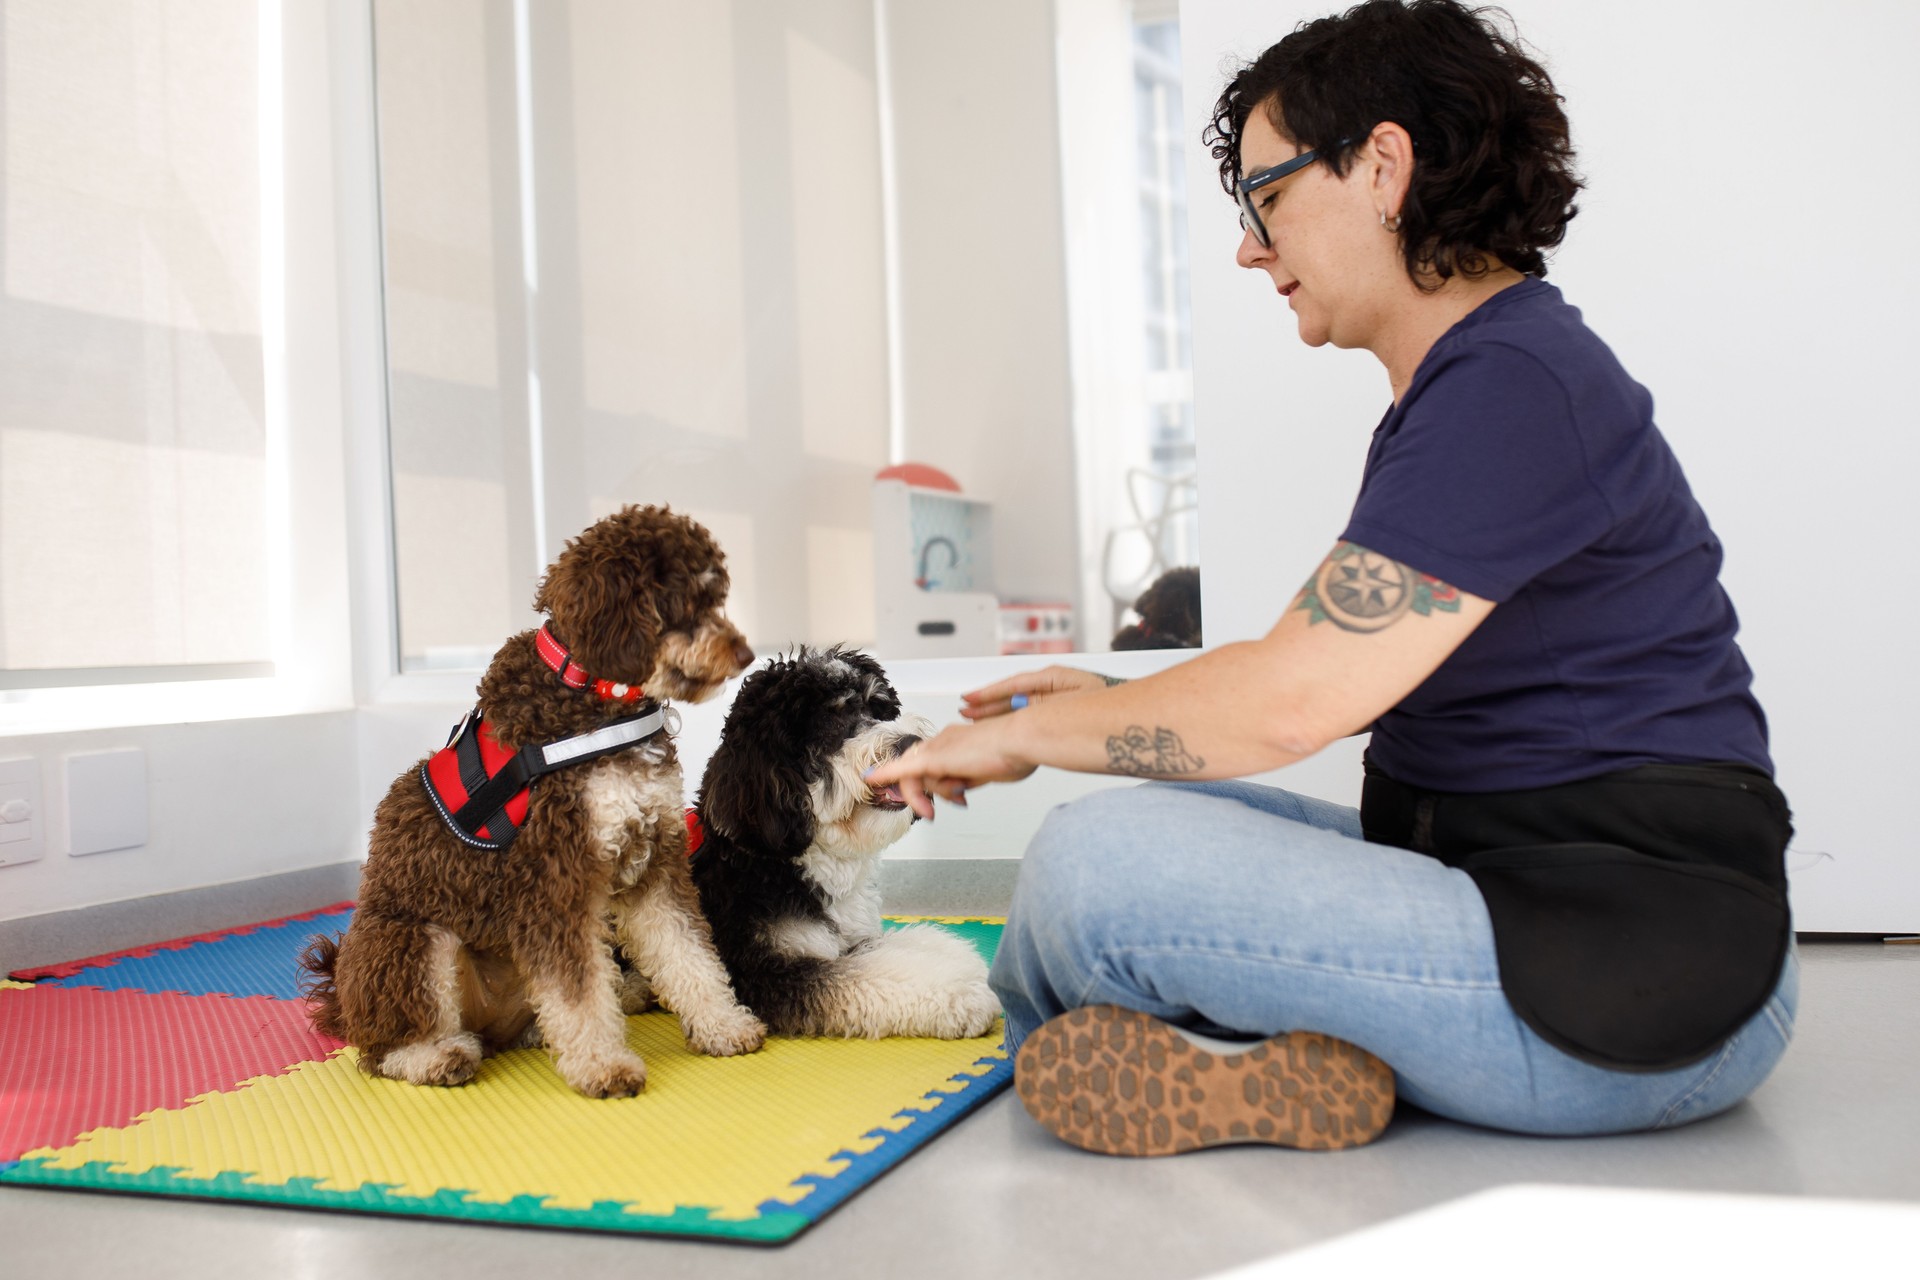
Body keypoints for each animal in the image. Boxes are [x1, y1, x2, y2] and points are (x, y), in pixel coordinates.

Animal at [299, 506, 764, 1097]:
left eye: (717, 598)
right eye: (686, 603)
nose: (747, 654)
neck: (592, 695)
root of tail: (342, 999)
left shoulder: (655, 863)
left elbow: (689, 954)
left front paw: (723, 1026)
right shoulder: (554, 882)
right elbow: (579, 992)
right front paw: (603, 1066)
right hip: (413, 942)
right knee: (382, 1049)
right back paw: (434, 1056)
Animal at [675, 652, 998, 1043]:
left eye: (878, 708)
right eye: (832, 721)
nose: (911, 742)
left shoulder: (853, 934)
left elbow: (896, 948)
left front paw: (963, 960)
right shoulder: (764, 969)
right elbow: (868, 976)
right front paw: (962, 993)